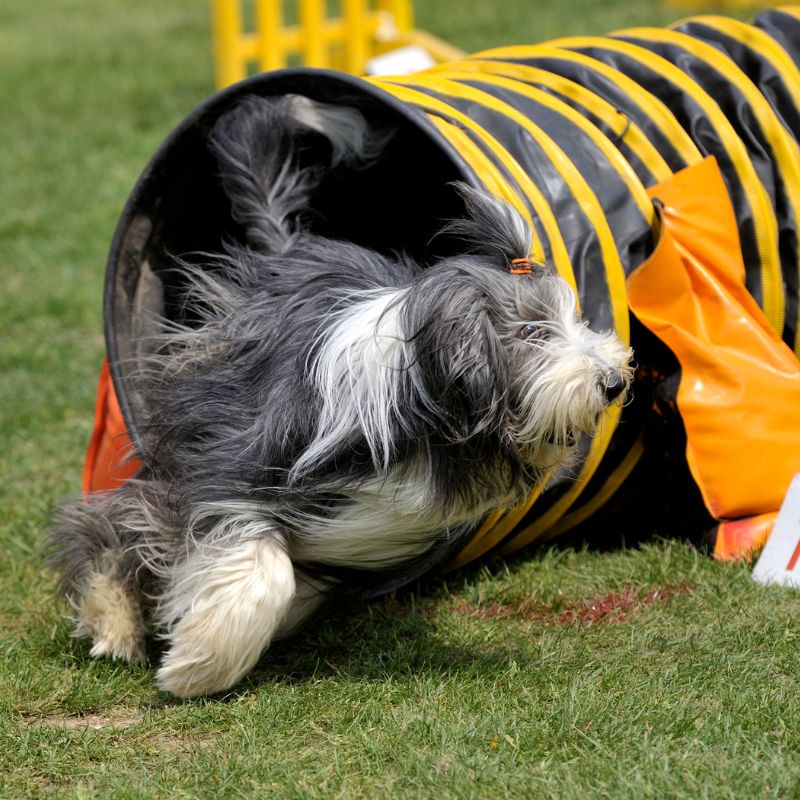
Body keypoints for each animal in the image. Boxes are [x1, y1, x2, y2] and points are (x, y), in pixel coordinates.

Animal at [48, 92, 632, 692]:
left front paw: (200, 651)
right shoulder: (221, 466)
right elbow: (255, 561)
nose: (613, 382)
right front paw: (194, 662)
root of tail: (288, 251)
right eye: (534, 332)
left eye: (577, 318)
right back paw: (114, 618)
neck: (412, 404)